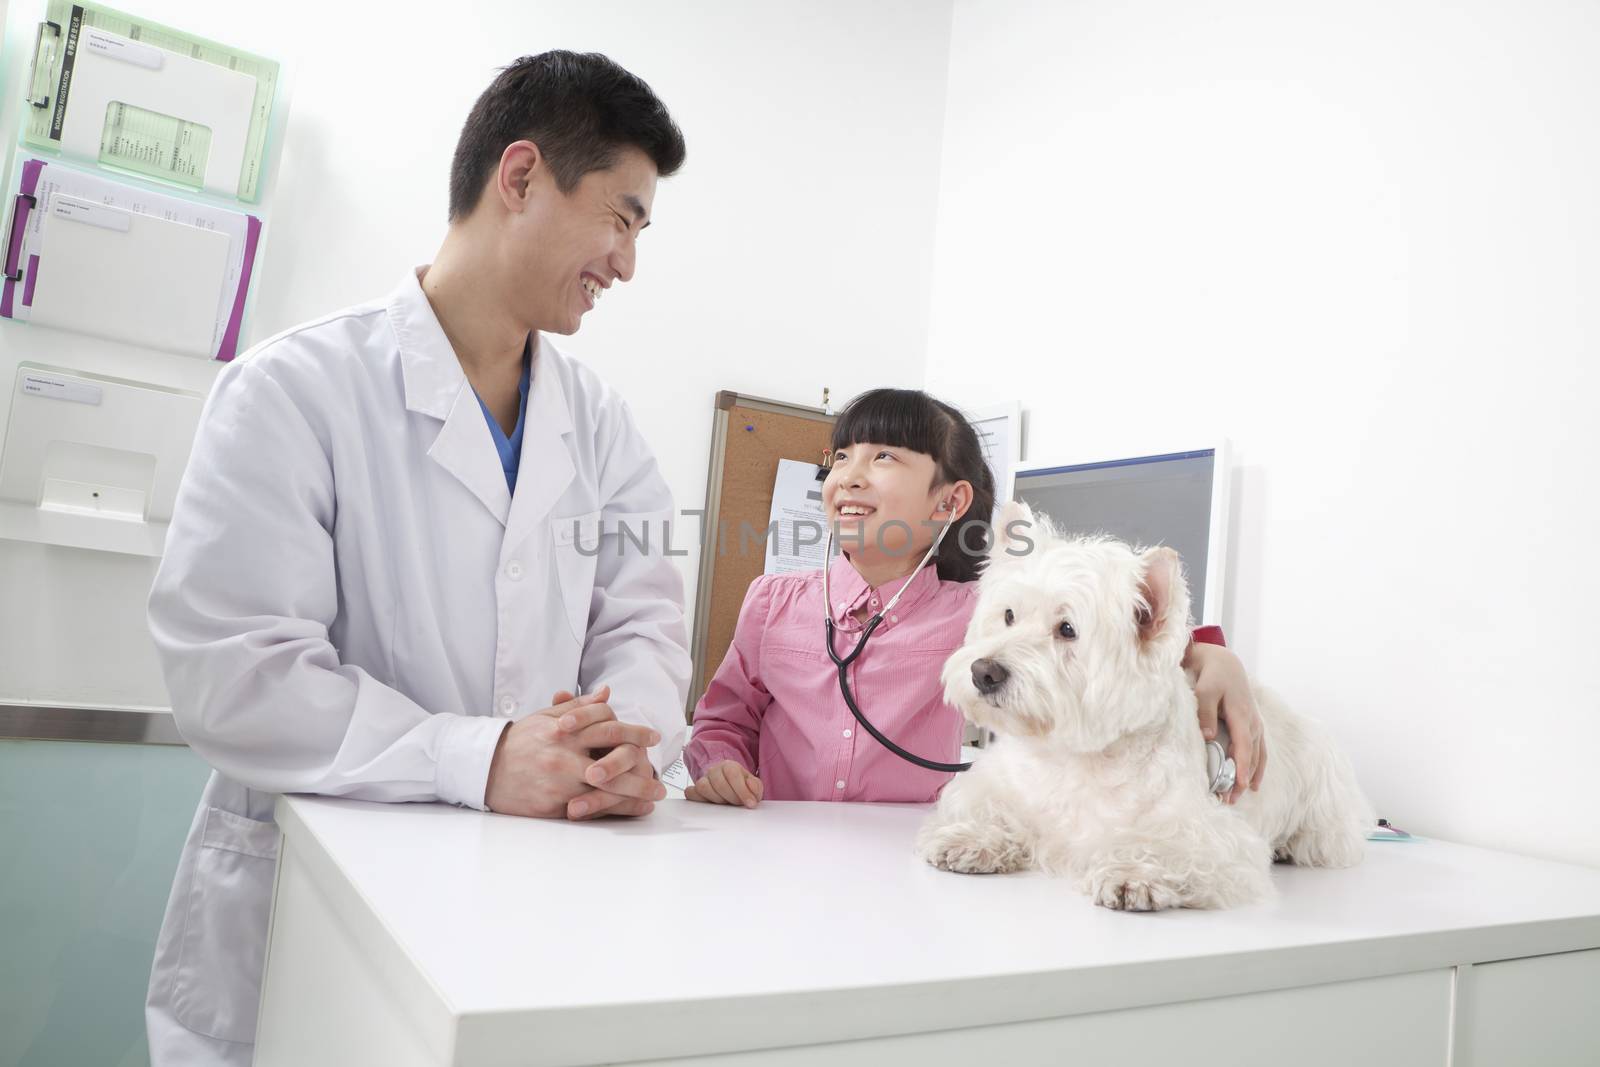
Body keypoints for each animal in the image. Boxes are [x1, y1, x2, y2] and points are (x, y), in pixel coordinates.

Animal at [921, 508, 1369, 908]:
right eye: (1009, 615)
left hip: (1327, 815)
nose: (984, 672)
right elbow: (989, 809)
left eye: (1067, 630)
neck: (1073, 760)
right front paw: (969, 839)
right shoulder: (990, 786)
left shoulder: (1209, 834)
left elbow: (1164, 846)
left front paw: (1133, 875)